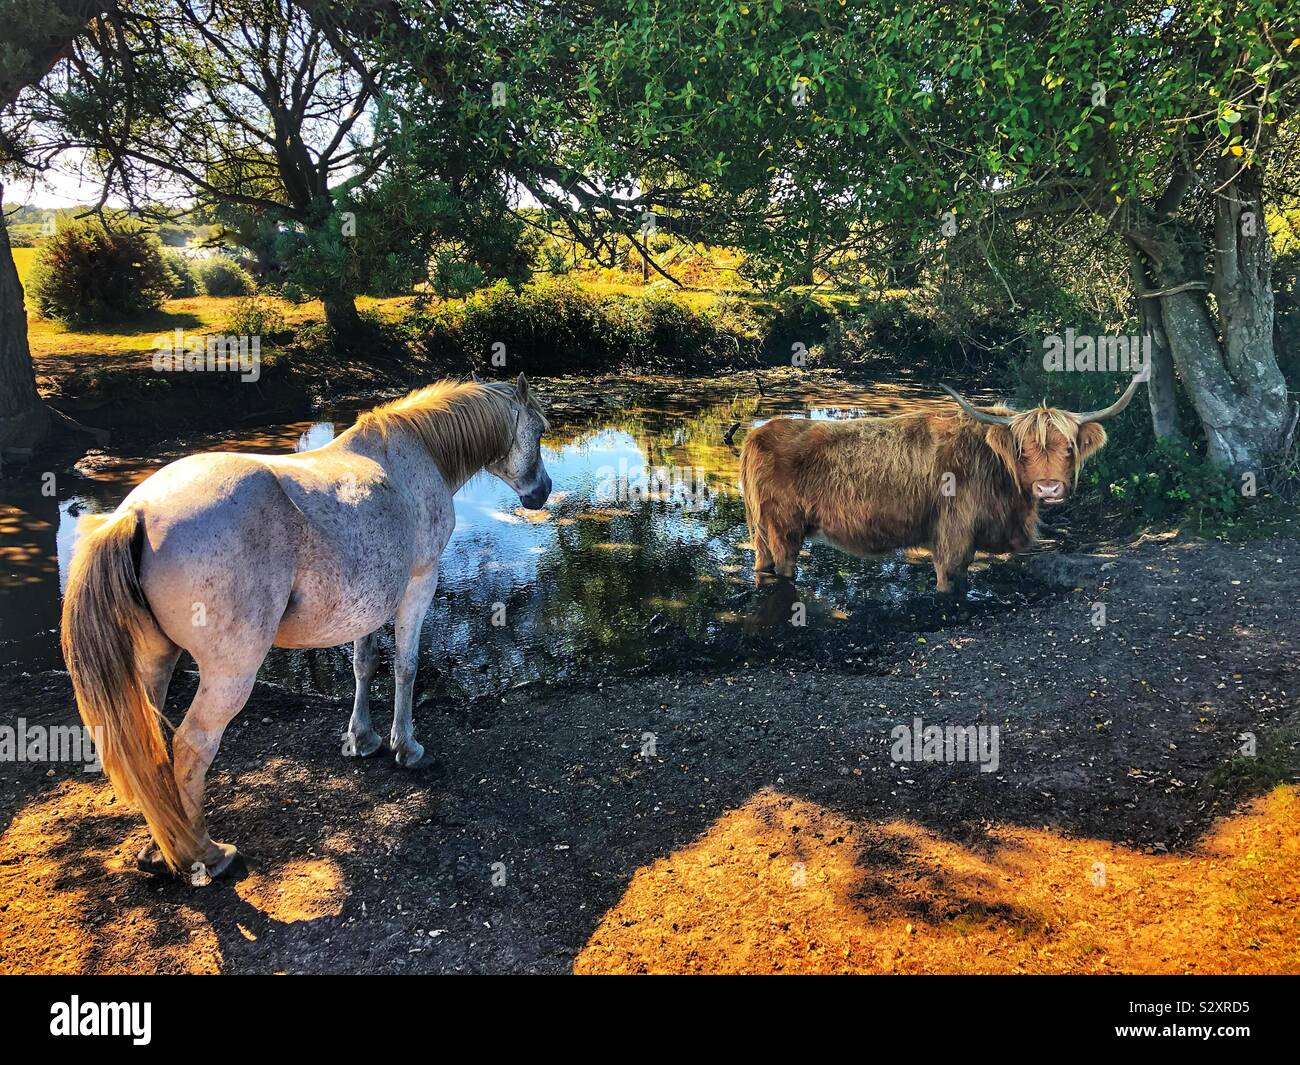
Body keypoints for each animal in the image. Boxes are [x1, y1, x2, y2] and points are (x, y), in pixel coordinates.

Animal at [62, 379, 548, 879]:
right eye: (539, 431)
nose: (542, 493)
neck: (415, 454)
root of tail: (136, 513)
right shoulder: (419, 583)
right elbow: (406, 667)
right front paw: (407, 746)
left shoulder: (369, 603)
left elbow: (364, 665)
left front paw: (362, 738)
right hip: (230, 673)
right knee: (191, 746)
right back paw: (207, 855)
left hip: (156, 661)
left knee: (150, 744)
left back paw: (160, 848)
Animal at [738, 371, 1144, 590]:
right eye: (1021, 449)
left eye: (1069, 447)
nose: (1048, 488)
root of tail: (757, 433)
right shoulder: (953, 533)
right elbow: (951, 578)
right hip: (783, 529)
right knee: (784, 568)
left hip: (761, 532)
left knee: (762, 565)